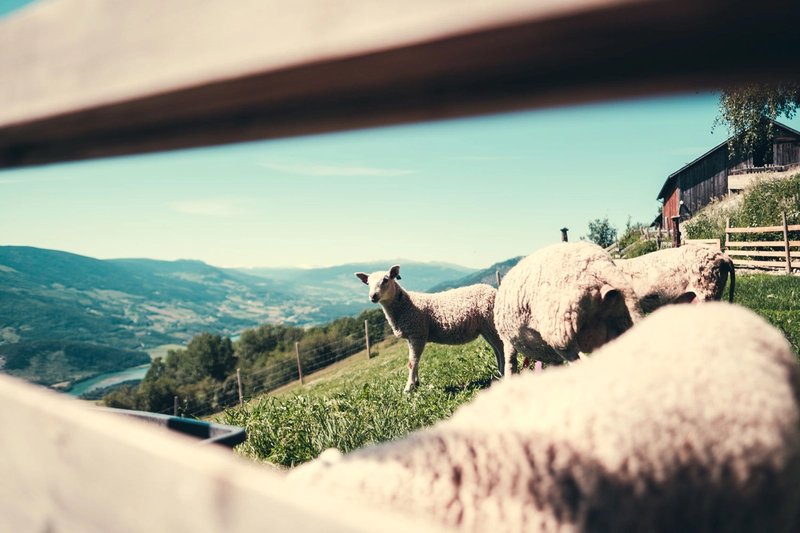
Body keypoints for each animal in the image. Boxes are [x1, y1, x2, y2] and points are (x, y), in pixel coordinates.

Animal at [355, 265, 505, 392]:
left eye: (386, 280)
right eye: (368, 283)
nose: (373, 296)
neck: (406, 304)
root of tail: (493, 290)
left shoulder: (418, 333)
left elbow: (412, 362)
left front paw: (408, 388)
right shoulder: (411, 337)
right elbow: (414, 361)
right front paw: (416, 383)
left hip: (490, 323)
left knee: (502, 348)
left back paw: (504, 372)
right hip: (487, 328)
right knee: (497, 350)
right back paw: (499, 373)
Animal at [493, 241, 643, 376]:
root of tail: (598, 265)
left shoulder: (508, 342)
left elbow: (510, 365)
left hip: (561, 332)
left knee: (583, 363)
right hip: (619, 320)